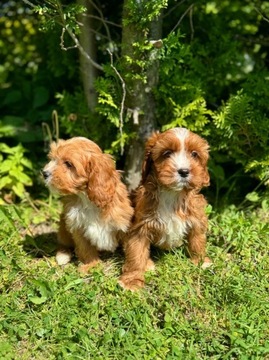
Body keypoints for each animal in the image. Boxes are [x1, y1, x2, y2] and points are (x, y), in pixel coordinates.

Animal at [42, 136, 133, 272]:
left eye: (69, 164)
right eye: (53, 159)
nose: (44, 173)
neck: (87, 199)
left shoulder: (123, 221)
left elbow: (131, 244)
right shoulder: (77, 226)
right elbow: (85, 248)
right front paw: (91, 264)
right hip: (63, 226)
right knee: (63, 243)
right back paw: (63, 255)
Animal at [120, 126, 211, 290]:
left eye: (194, 154)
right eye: (167, 153)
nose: (184, 171)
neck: (172, 193)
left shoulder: (196, 217)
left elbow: (197, 239)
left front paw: (201, 261)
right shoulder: (140, 226)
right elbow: (136, 252)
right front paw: (132, 280)